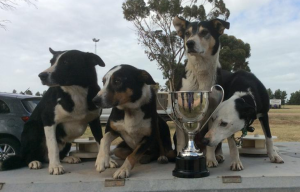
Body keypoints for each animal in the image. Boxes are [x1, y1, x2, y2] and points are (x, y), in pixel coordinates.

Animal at [172, 15, 231, 167]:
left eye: (204, 32)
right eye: (187, 34)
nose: (190, 43)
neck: (201, 71)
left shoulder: (213, 110)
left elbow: (210, 141)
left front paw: (211, 160)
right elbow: (181, 140)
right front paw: (181, 155)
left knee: (216, 143)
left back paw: (218, 155)